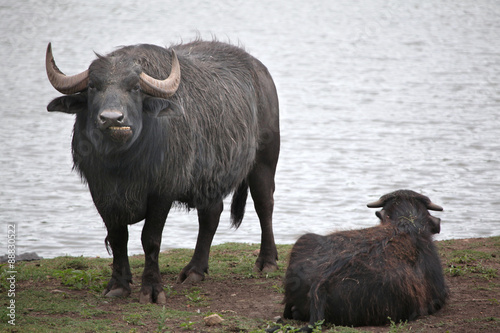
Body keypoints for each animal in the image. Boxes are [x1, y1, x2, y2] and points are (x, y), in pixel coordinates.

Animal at [46, 40, 282, 302]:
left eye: (135, 87)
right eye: (92, 86)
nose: (112, 119)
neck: (122, 163)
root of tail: (261, 72)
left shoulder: (162, 192)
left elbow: (150, 239)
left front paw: (151, 289)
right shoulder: (100, 192)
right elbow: (118, 238)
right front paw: (118, 285)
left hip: (264, 161)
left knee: (264, 205)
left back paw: (267, 261)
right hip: (208, 179)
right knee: (211, 215)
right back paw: (195, 270)